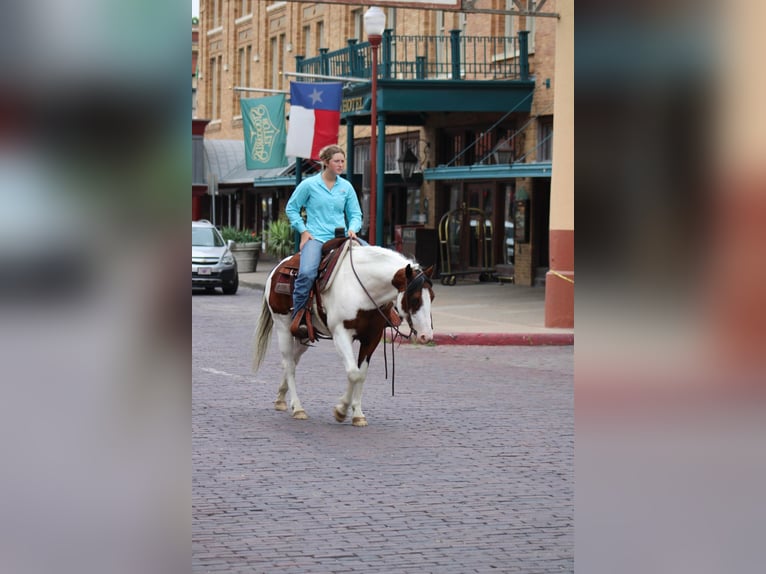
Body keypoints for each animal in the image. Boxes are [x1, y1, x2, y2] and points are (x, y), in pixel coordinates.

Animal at [252, 243, 432, 428]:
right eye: (415, 299)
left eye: (432, 297)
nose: (426, 335)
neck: (361, 290)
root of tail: (278, 268)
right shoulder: (341, 334)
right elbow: (353, 372)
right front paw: (341, 410)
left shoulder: (372, 338)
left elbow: (361, 374)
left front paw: (358, 414)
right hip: (283, 327)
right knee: (289, 365)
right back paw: (298, 408)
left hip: (304, 336)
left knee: (292, 361)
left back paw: (281, 398)